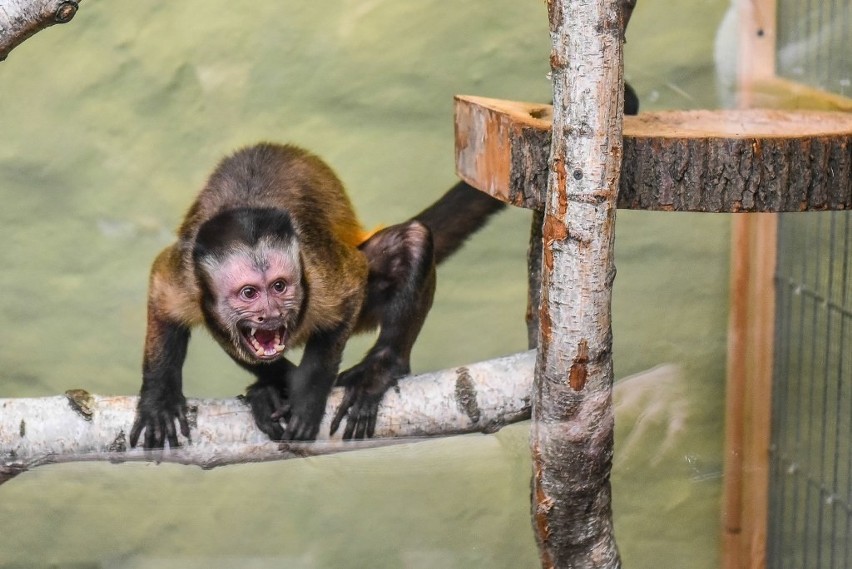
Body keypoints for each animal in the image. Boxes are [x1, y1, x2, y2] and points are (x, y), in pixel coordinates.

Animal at [130, 143, 506, 448]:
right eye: (249, 293)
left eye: (279, 287)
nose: (271, 314)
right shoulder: (185, 276)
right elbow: (160, 292)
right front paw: (159, 397)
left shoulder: (318, 270)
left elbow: (349, 293)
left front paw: (307, 396)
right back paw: (268, 389)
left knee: (412, 239)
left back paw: (381, 368)